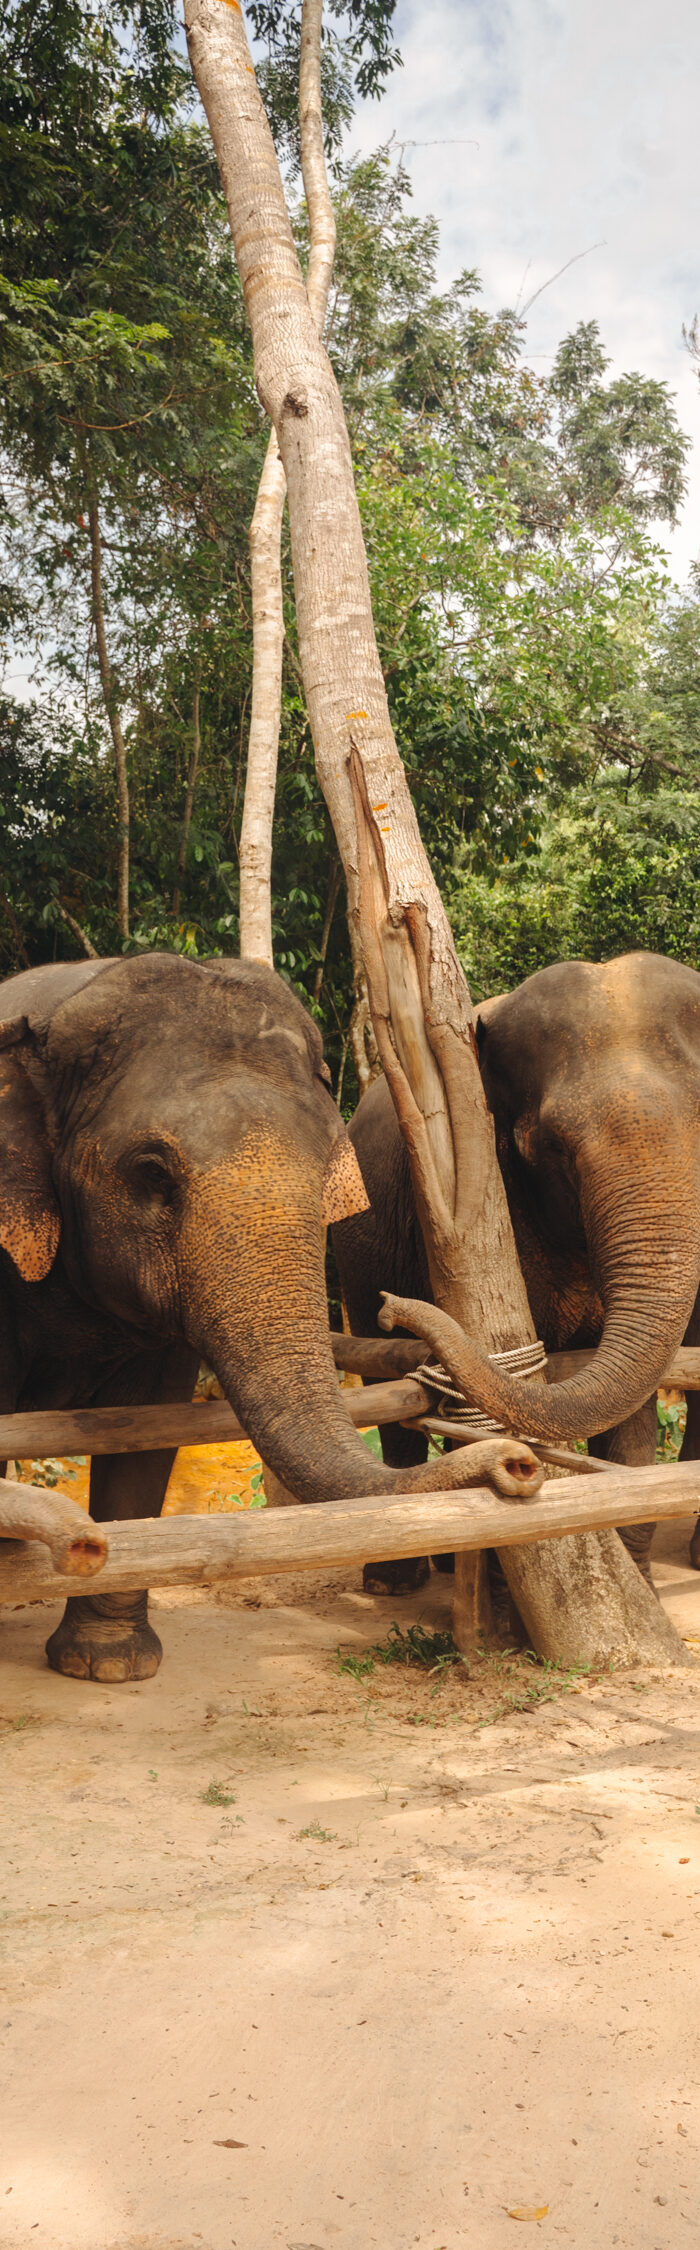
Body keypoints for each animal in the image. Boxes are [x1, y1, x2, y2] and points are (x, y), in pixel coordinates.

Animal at [333, 951, 700, 1591]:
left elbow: (633, 1412)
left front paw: (640, 1582)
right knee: (387, 1399)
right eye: (552, 1145)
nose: (392, 1307)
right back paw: (395, 1581)